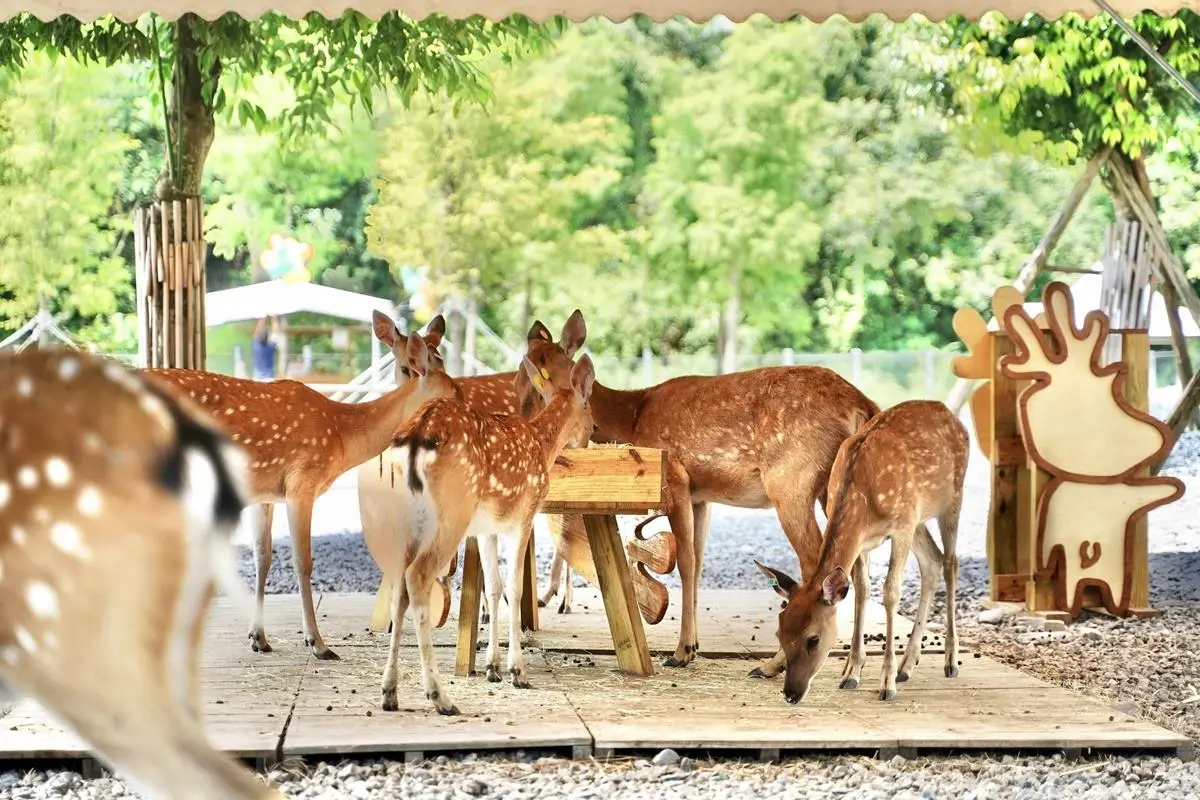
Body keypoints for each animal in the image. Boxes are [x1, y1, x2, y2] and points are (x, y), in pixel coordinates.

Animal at [142, 311, 453, 660]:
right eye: (405, 366)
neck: (342, 436)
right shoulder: (302, 483)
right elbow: (303, 561)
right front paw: (317, 643)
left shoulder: (264, 494)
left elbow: (263, 557)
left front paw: (259, 638)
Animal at [377, 352, 596, 715]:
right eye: (590, 407)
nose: (592, 434)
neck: (542, 445)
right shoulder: (523, 516)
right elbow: (514, 589)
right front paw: (517, 671)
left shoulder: (486, 529)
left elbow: (493, 588)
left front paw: (493, 667)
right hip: (451, 512)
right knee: (418, 576)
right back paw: (440, 696)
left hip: (407, 517)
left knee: (400, 584)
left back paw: (390, 692)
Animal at [515, 310, 881, 677]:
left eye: (534, 373)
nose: (522, 420)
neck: (632, 416)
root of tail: (863, 405)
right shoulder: (701, 496)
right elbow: (699, 559)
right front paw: (693, 646)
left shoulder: (676, 479)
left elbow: (687, 562)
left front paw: (682, 651)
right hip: (835, 489)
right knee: (859, 571)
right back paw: (853, 668)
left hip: (792, 482)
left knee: (817, 565)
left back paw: (773, 665)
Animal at [755, 399, 968, 704]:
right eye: (779, 632)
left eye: (813, 639)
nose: (791, 694)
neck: (862, 497)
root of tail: (951, 414)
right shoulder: (864, 539)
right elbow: (862, 590)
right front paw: (852, 673)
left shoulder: (901, 527)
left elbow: (890, 593)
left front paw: (886, 683)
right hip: (920, 517)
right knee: (932, 561)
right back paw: (907, 666)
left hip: (951, 499)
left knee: (951, 562)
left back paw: (950, 661)